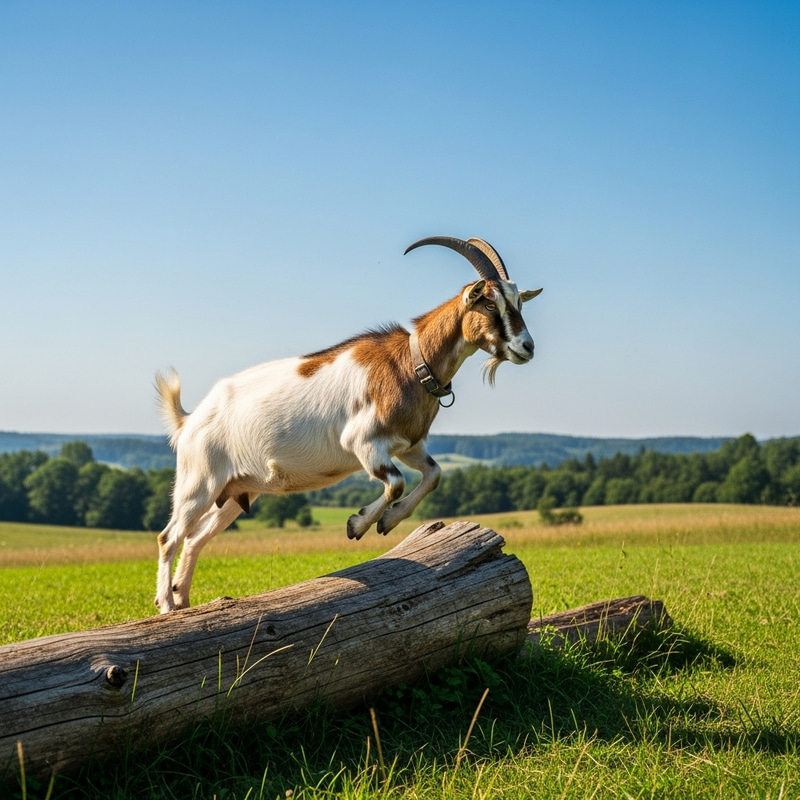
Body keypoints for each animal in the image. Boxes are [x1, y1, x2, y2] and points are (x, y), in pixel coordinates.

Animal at [154, 235, 542, 613]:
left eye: (518, 304)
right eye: (490, 304)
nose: (527, 347)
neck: (410, 363)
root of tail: (189, 420)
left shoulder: (409, 445)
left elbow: (433, 474)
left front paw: (389, 520)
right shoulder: (363, 442)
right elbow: (396, 483)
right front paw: (359, 524)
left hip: (235, 492)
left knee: (195, 538)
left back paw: (184, 601)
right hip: (198, 481)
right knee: (169, 536)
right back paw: (167, 606)